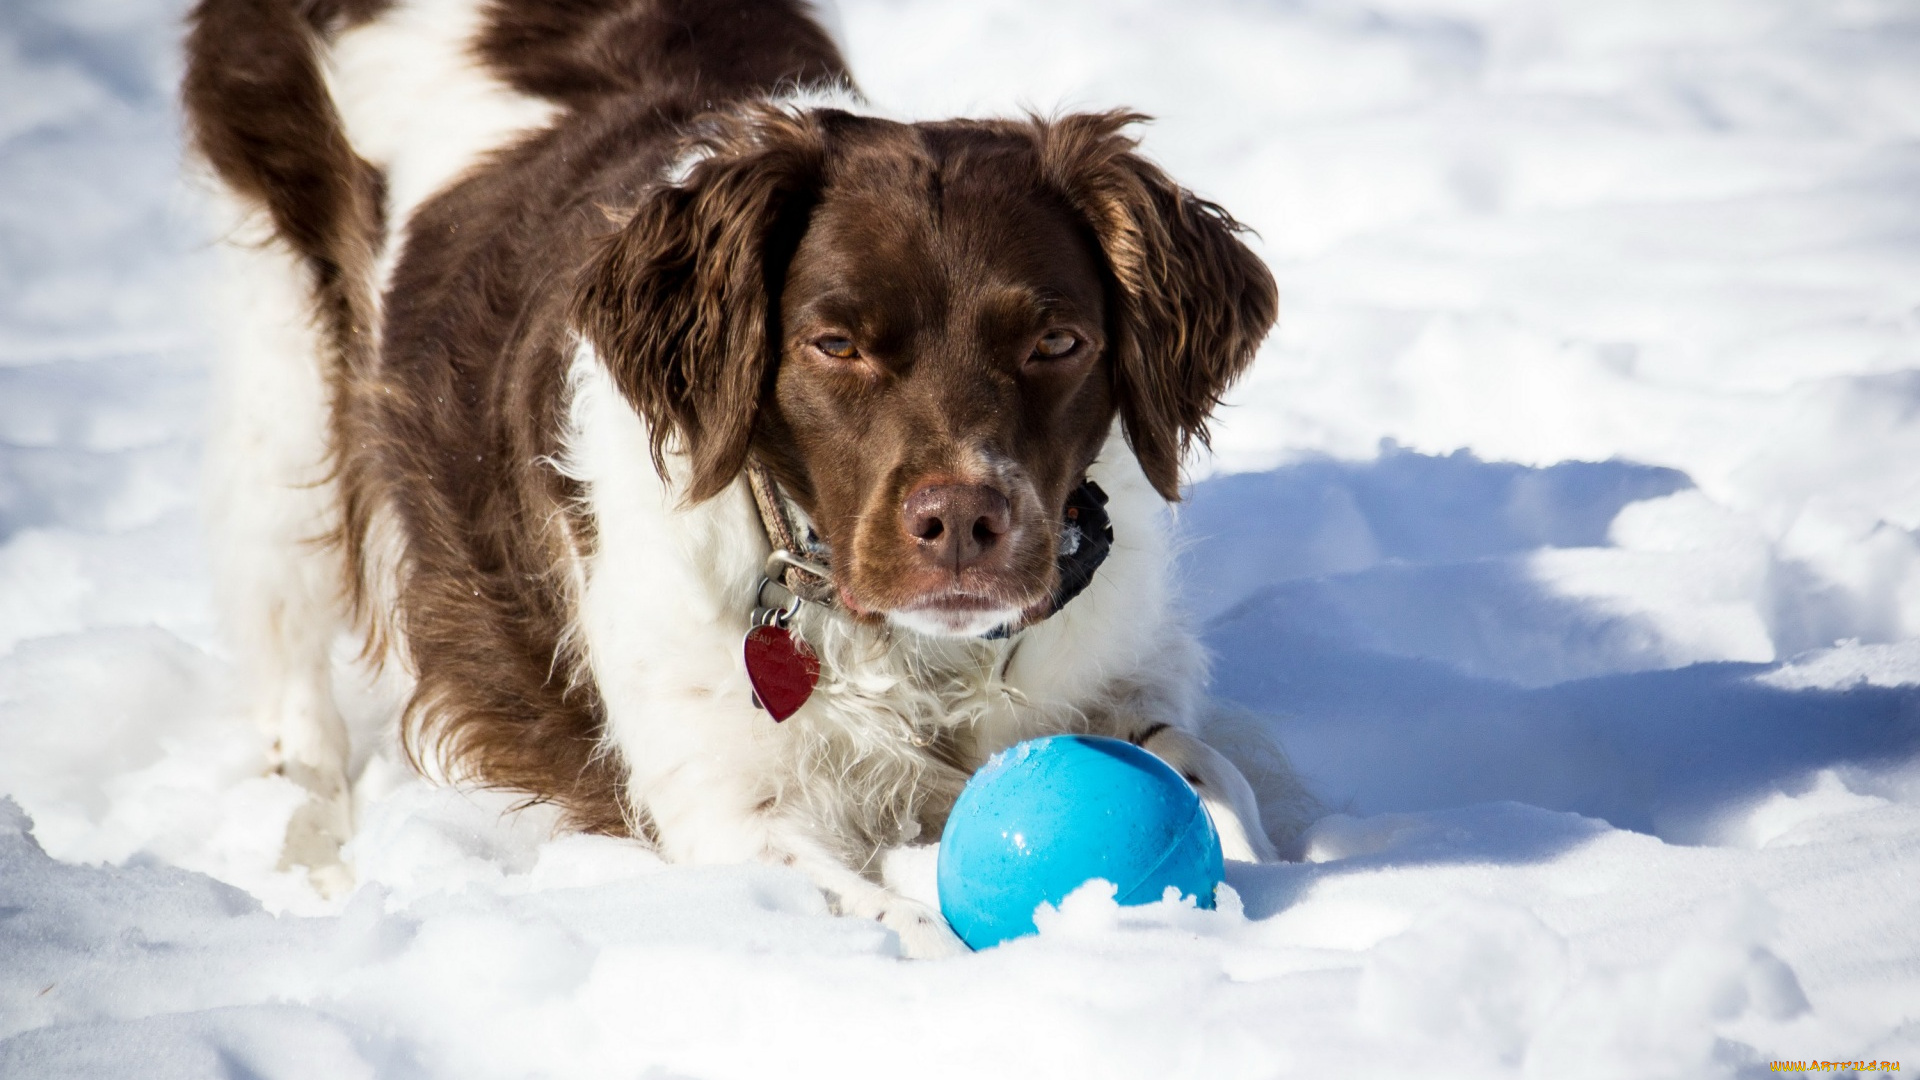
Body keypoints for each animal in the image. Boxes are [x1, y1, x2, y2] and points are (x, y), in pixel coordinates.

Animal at [187, 0, 1282, 953]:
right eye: (834, 344)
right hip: (290, 356)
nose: (966, 521)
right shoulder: (732, 810)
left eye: (1058, 342)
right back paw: (309, 846)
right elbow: (906, 928)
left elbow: (1207, 769)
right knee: (285, 626)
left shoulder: (1113, 679)